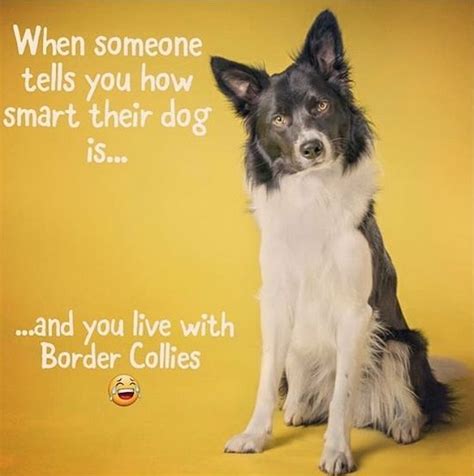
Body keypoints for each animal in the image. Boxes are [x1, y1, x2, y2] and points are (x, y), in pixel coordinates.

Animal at [210, 9, 456, 474]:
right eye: (279, 120)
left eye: (320, 106)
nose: (311, 147)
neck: (313, 195)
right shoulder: (277, 301)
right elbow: (266, 379)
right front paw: (255, 435)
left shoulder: (355, 311)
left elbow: (343, 393)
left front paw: (337, 451)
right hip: (301, 347)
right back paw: (299, 407)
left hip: (402, 343)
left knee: (400, 394)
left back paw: (405, 423)